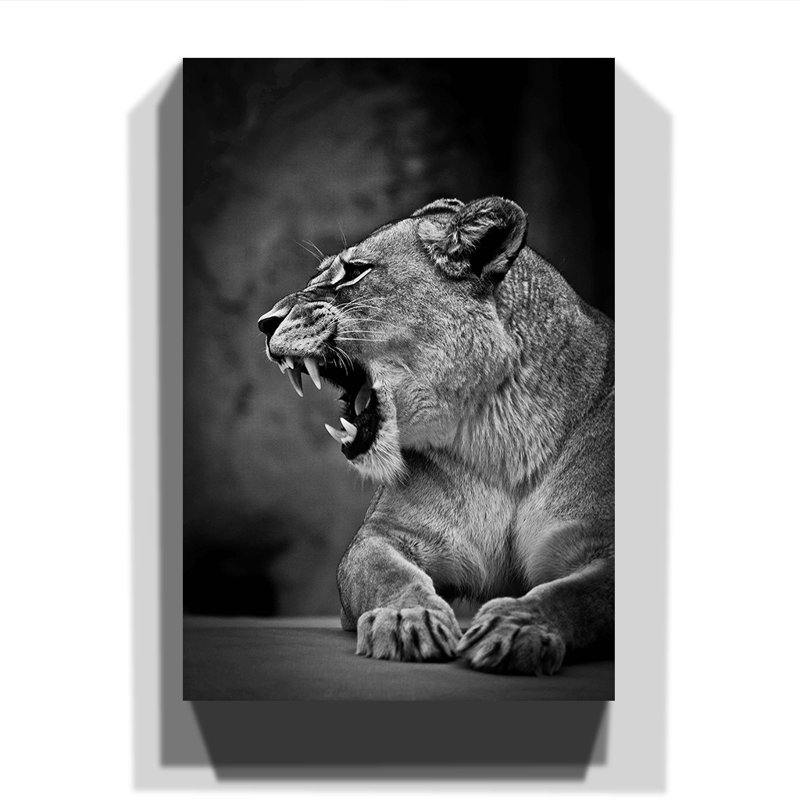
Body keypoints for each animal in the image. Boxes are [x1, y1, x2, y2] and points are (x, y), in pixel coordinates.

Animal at [257, 197, 613, 675]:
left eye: (353, 272)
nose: (264, 323)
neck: (503, 443)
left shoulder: (600, 544)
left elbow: (576, 594)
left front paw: (518, 626)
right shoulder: (381, 536)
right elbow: (391, 575)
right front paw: (408, 619)